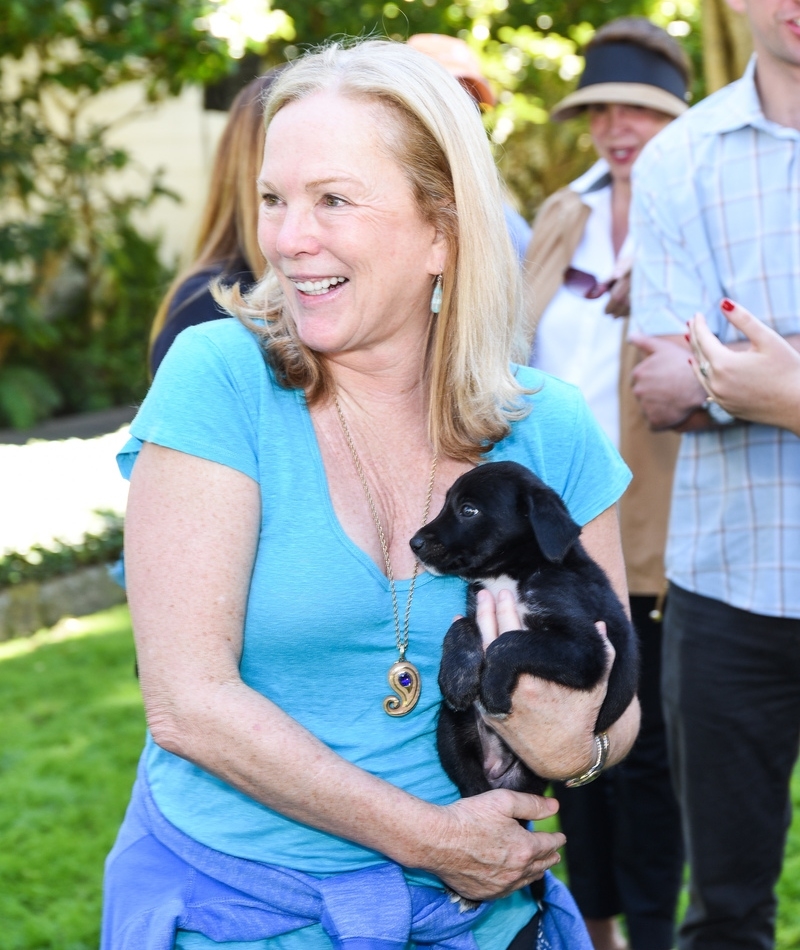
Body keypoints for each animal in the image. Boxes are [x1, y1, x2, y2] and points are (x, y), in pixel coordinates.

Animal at [412, 462, 636, 804]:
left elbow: (510, 642)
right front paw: (457, 677)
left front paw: (491, 686)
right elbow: (460, 626)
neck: (509, 574)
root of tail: (498, 768)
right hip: (449, 726)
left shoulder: (588, 650)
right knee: (472, 787)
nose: (414, 543)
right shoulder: (478, 606)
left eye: (468, 510)